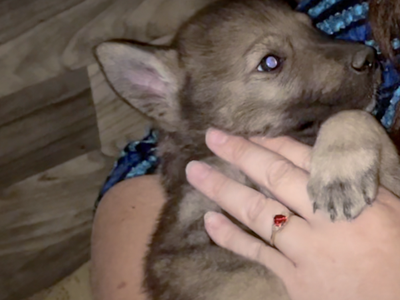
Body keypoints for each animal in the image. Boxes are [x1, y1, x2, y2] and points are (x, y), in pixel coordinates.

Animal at [95, 0, 400, 298]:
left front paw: (340, 177)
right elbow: (256, 276)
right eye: (270, 62)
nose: (370, 58)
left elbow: (353, 116)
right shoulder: (180, 249)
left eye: (312, 28)